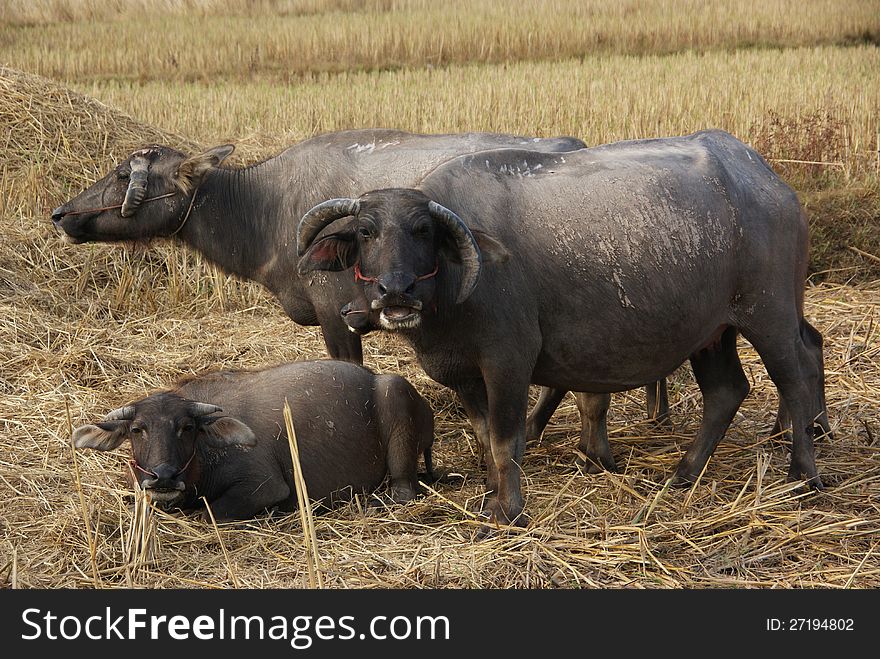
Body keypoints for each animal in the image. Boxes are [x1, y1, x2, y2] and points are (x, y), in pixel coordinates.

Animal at [71, 360, 434, 520]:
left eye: (186, 427)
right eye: (137, 429)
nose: (163, 476)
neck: (206, 456)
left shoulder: (265, 487)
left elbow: (211, 513)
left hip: (396, 398)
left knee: (404, 489)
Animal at [300, 131, 828, 528]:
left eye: (423, 231)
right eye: (366, 232)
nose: (396, 290)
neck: (454, 291)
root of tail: (769, 182)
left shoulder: (508, 362)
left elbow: (505, 438)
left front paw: (508, 511)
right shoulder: (466, 374)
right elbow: (482, 433)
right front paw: (490, 492)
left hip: (770, 315)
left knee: (795, 377)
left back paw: (805, 472)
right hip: (711, 331)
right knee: (726, 391)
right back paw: (683, 473)